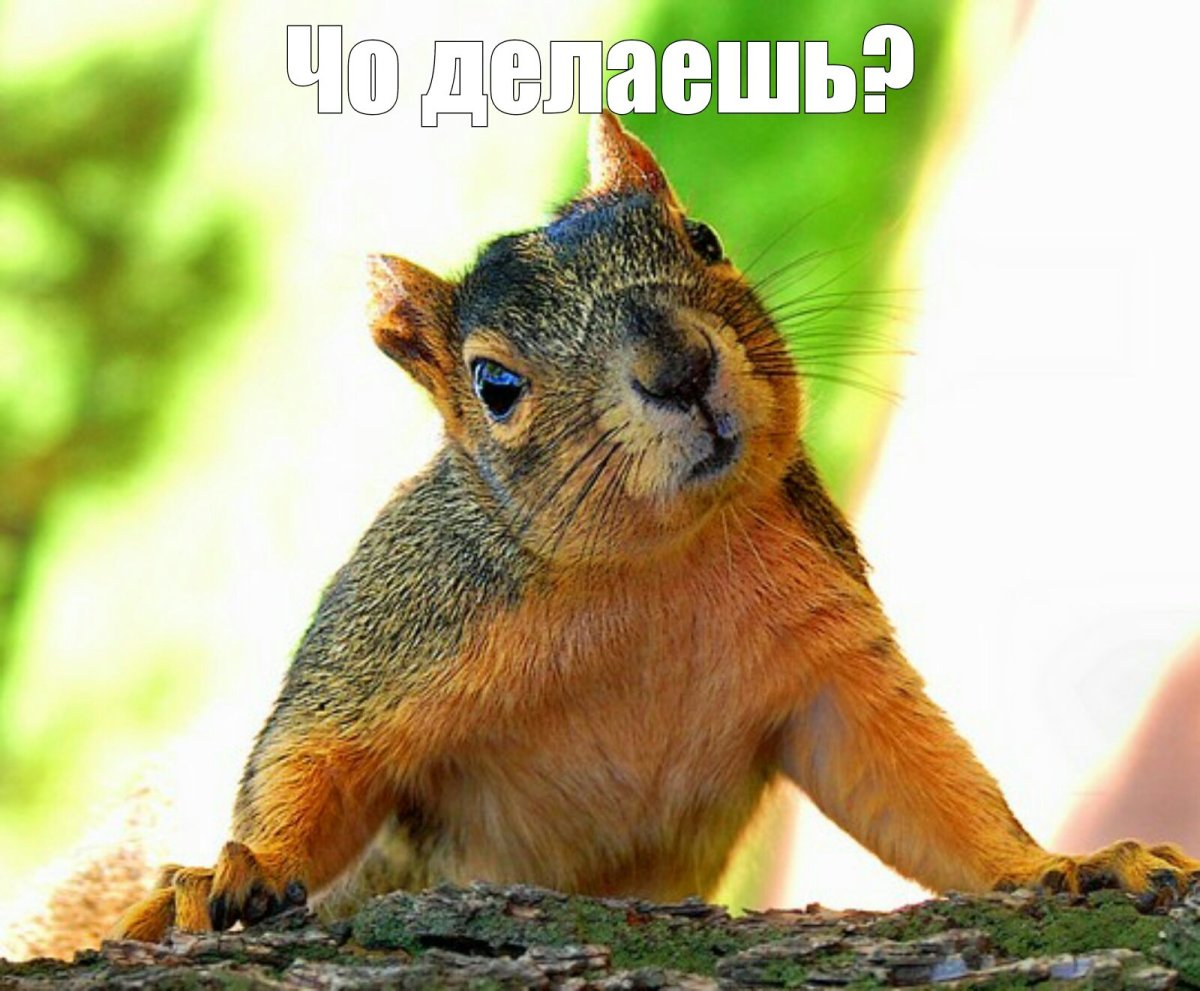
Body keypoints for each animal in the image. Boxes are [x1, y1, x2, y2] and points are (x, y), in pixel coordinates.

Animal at [107, 111, 1198, 942]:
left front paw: (1067, 862)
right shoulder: (399, 627)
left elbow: (921, 787)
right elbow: (314, 760)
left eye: (704, 237)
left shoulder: (826, 656)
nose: (680, 366)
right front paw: (231, 873)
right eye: (494, 384)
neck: (653, 570)